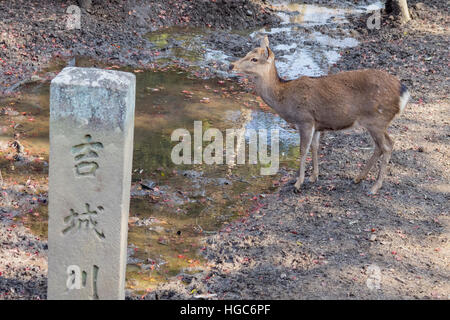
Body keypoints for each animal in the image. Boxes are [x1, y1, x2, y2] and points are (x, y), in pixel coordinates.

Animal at [230, 36, 410, 194]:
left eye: (254, 59)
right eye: (247, 53)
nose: (231, 65)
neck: (284, 99)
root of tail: (403, 92)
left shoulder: (305, 119)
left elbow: (303, 150)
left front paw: (298, 183)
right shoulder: (317, 124)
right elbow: (315, 147)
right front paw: (313, 177)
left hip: (377, 120)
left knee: (386, 146)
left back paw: (374, 187)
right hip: (378, 122)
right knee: (384, 145)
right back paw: (358, 178)